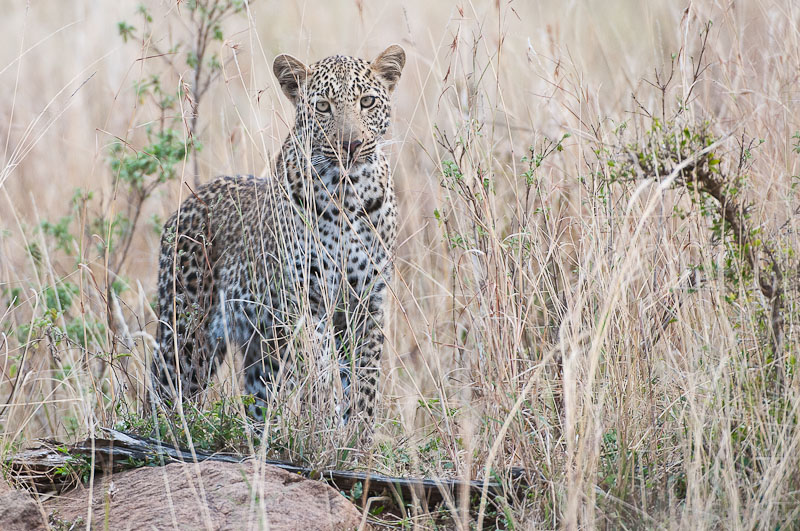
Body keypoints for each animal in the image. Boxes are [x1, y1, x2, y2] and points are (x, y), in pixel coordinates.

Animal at [152, 46, 406, 428]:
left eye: (367, 101)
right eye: (323, 106)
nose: (350, 144)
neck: (346, 195)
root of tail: (185, 206)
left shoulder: (367, 302)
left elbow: (365, 381)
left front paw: (357, 437)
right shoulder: (305, 301)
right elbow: (320, 370)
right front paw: (324, 425)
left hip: (259, 352)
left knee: (257, 398)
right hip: (187, 333)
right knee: (163, 390)